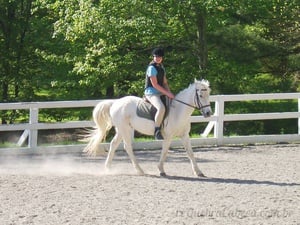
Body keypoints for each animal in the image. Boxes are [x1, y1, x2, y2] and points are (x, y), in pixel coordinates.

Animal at [83, 79, 212, 178]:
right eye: (201, 96)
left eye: (209, 95)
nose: (208, 113)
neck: (178, 111)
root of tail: (115, 103)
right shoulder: (168, 136)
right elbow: (164, 152)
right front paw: (161, 170)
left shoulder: (184, 135)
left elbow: (190, 153)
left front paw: (198, 172)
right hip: (125, 130)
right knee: (127, 147)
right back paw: (140, 170)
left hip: (121, 130)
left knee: (113, 145)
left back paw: (108, 168)